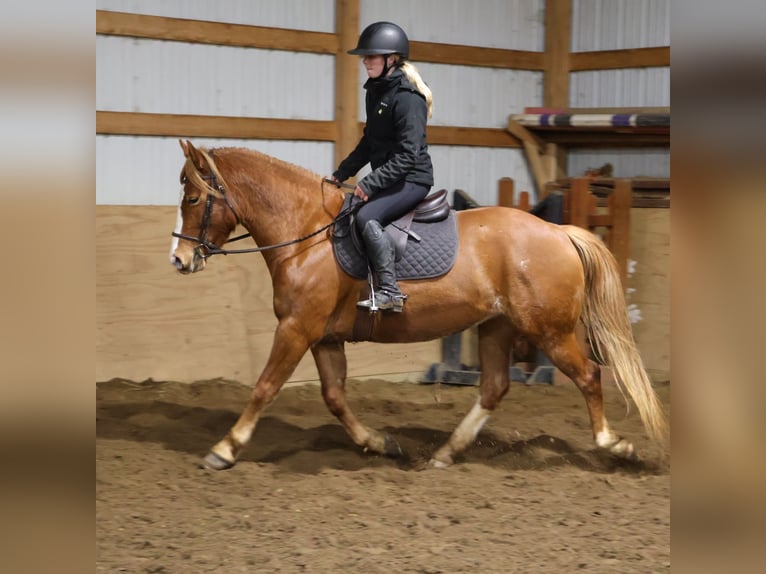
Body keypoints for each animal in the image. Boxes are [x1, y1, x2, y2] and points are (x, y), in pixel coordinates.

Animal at [170, 140, 666, 471]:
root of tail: (560, 232)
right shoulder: (323, 336)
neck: (308, 233)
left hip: (550, 332)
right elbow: (334, 397)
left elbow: (265, 387)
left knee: (589, 376)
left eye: (193, 197)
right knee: (494, 387)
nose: (179, 260)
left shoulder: (296, 328)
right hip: (498, 326)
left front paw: (224, 449)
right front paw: (380, 443)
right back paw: (445, 454)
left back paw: (614, 445)